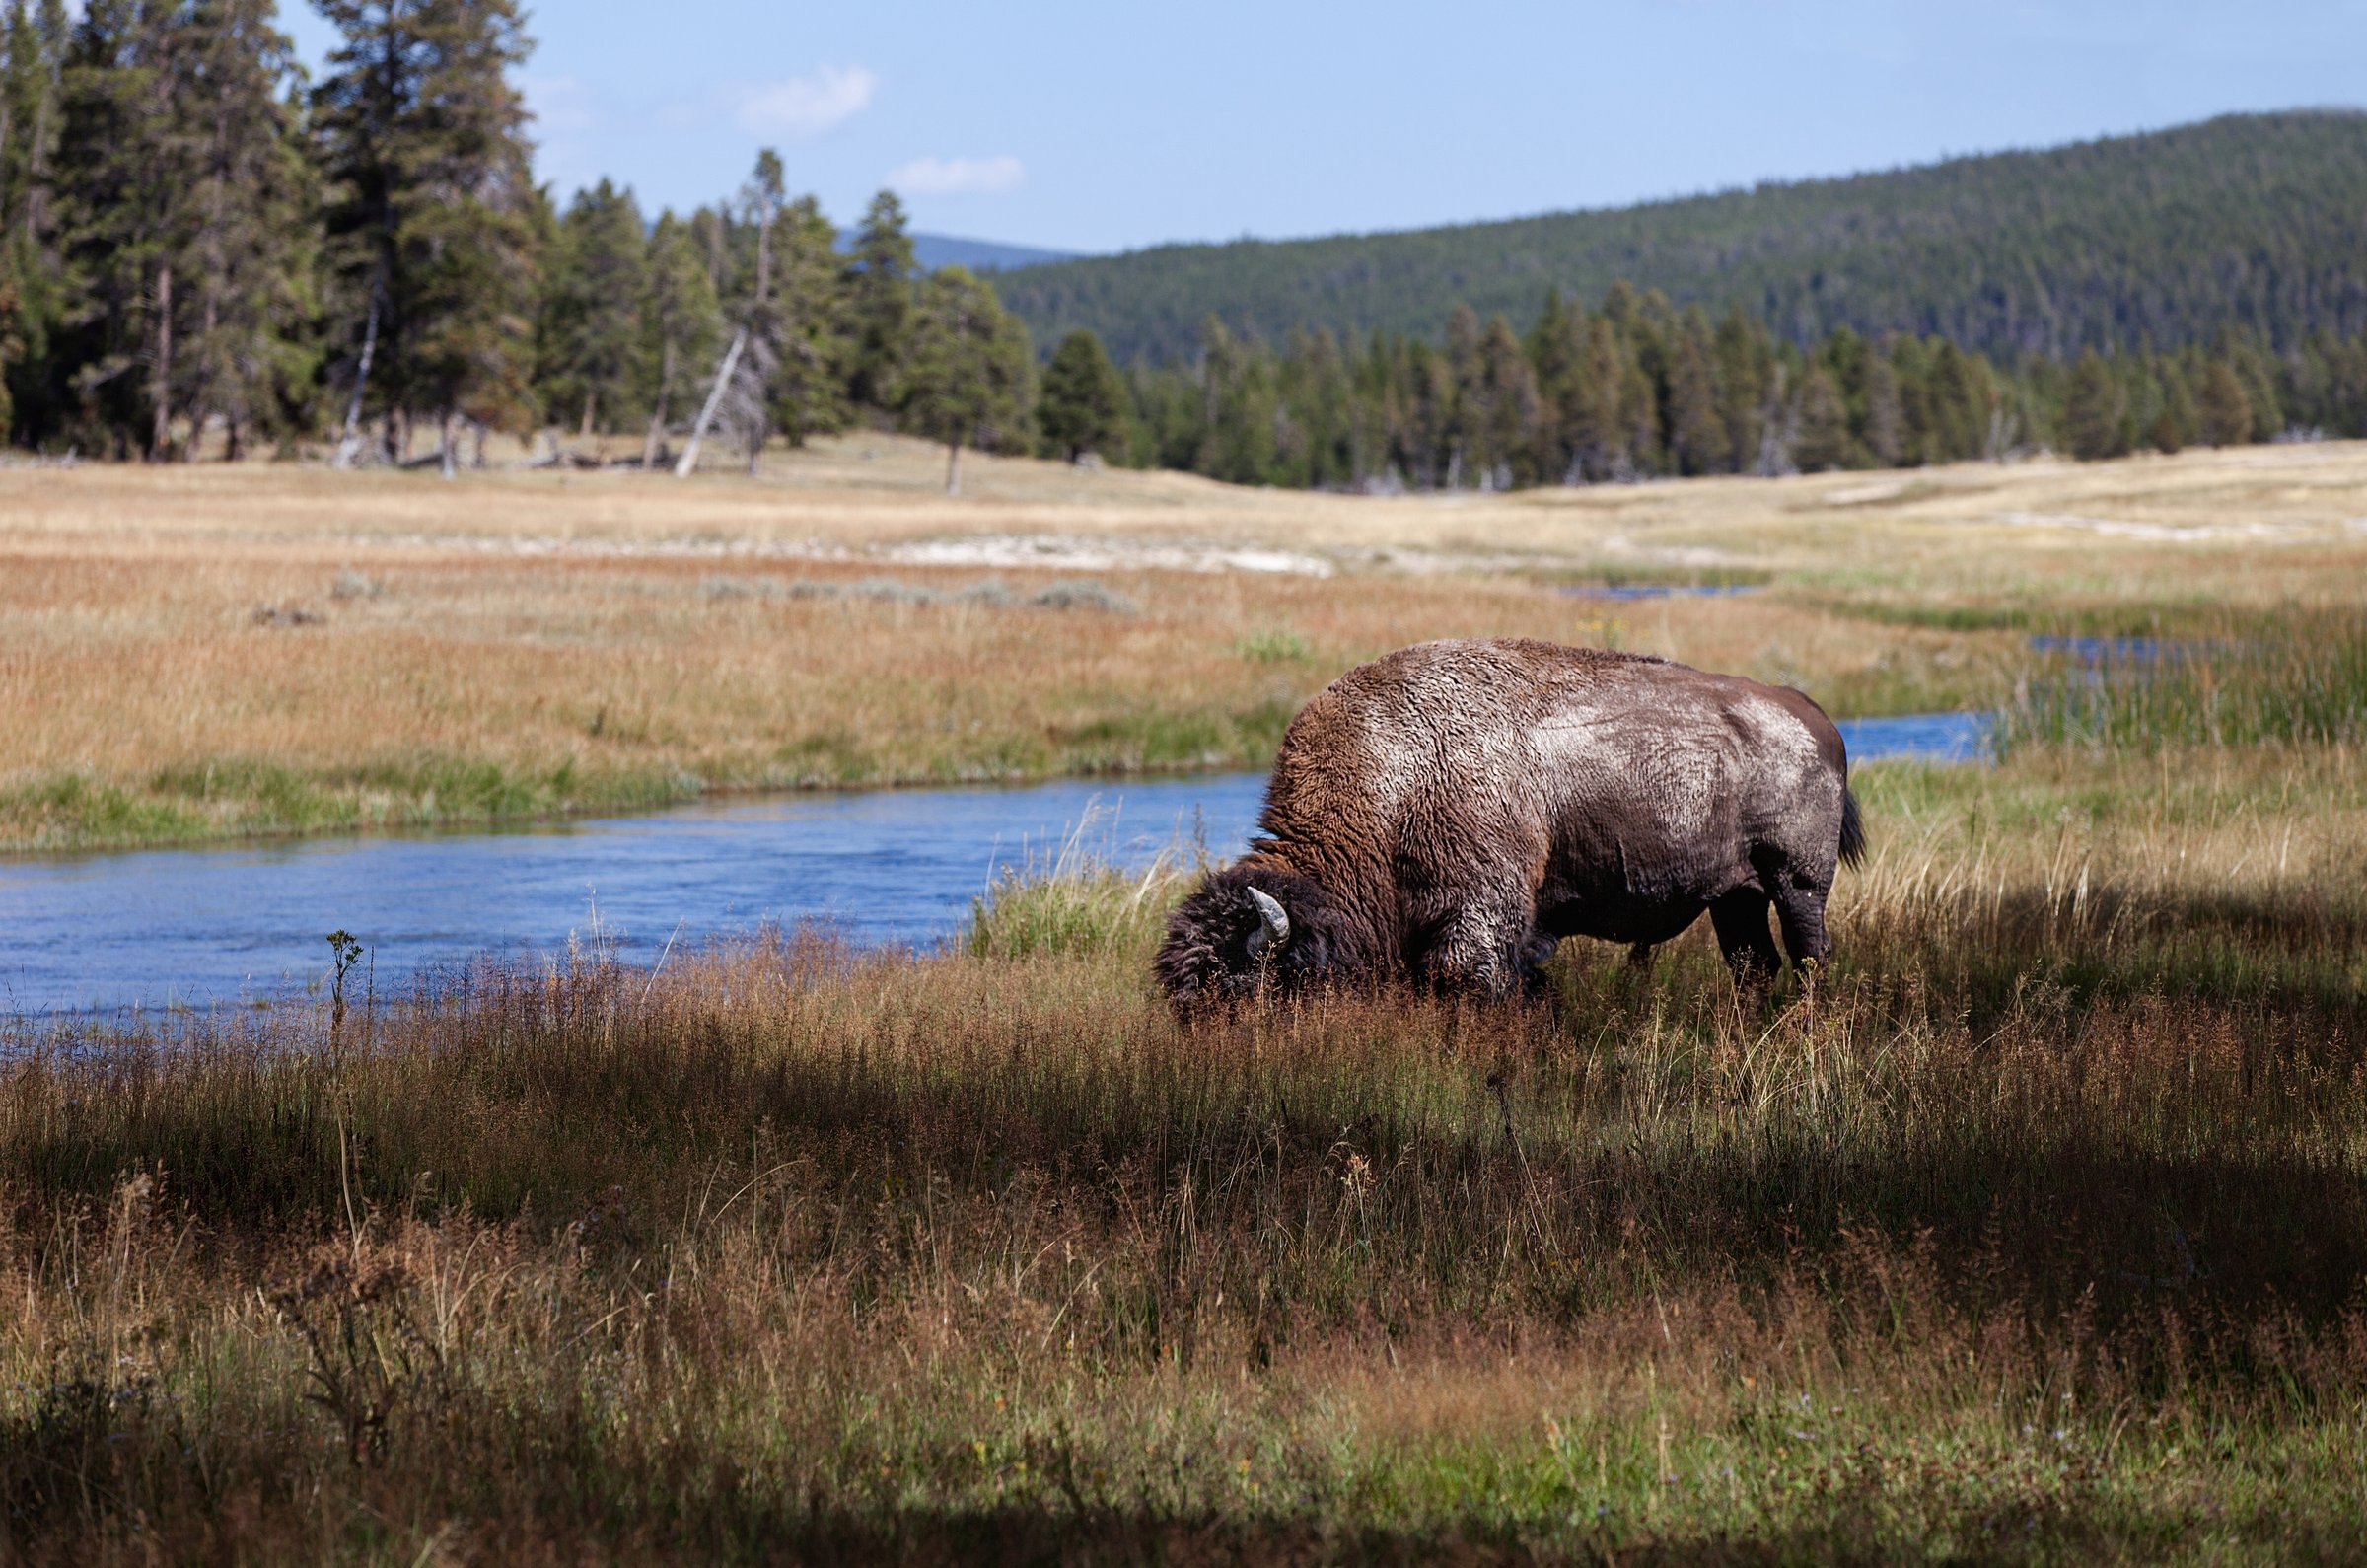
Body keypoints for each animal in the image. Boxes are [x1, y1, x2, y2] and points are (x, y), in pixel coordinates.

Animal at [1155, 637, 1863, 1005]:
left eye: (1239, 992)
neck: (1395, 782)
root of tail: (1807, 712)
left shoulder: (1480, 921)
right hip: (1734, 895)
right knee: (1754, 962)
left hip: (1796, 882)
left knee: (1810, 953)